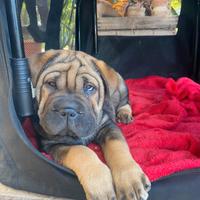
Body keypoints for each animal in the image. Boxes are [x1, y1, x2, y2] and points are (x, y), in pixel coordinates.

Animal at [27, 48, 150, 200]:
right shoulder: (53, 143)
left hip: (121, 89)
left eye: (89, 88)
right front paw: (100, 184)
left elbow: (118, 147)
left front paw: (130, 180)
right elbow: (81, 151)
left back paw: (124, 113)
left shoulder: (107, 127)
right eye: (51, 84)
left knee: (126, 101)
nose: (68, 110)